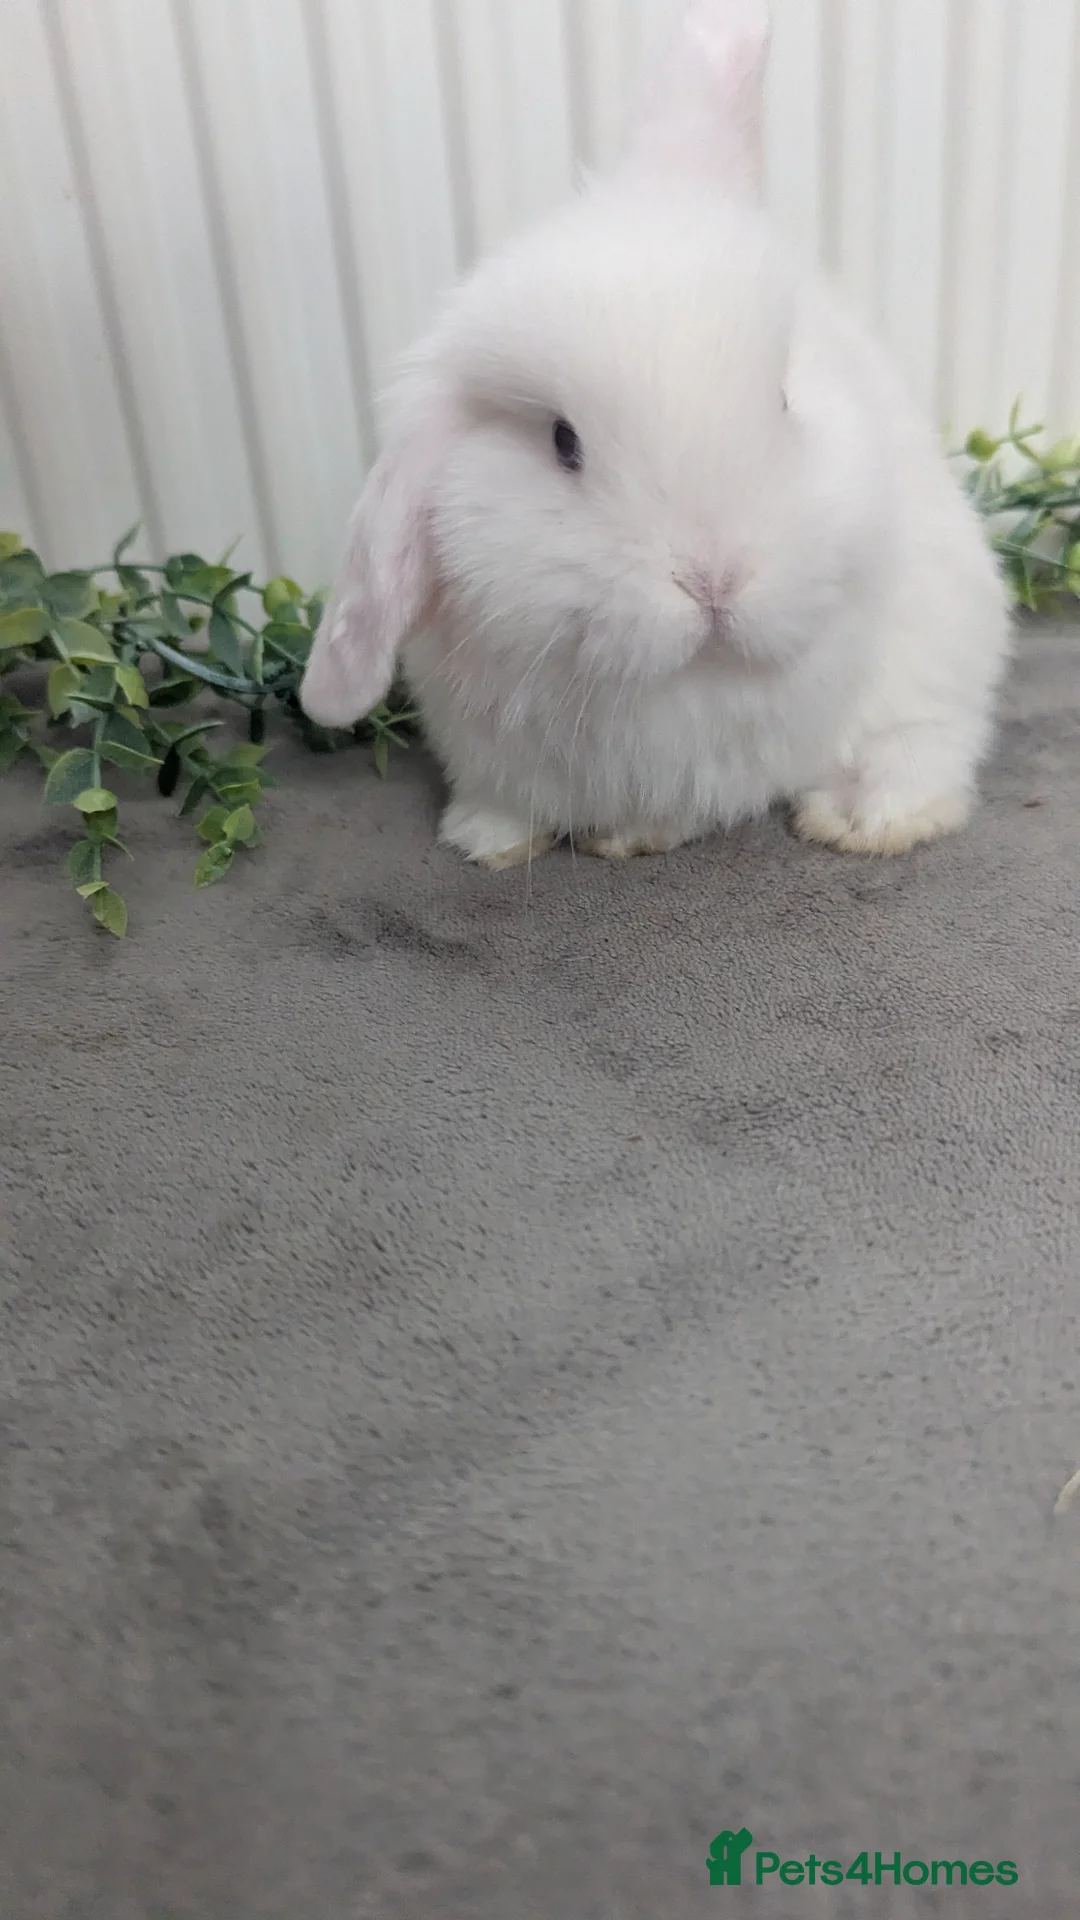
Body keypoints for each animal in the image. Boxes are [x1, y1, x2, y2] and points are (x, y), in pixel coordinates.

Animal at [301, 0, 1011, 869]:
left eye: (782, 401)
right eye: (563, 441)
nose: (714, 581)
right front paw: (493, 840)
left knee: (918, 746)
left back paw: (866, 821)